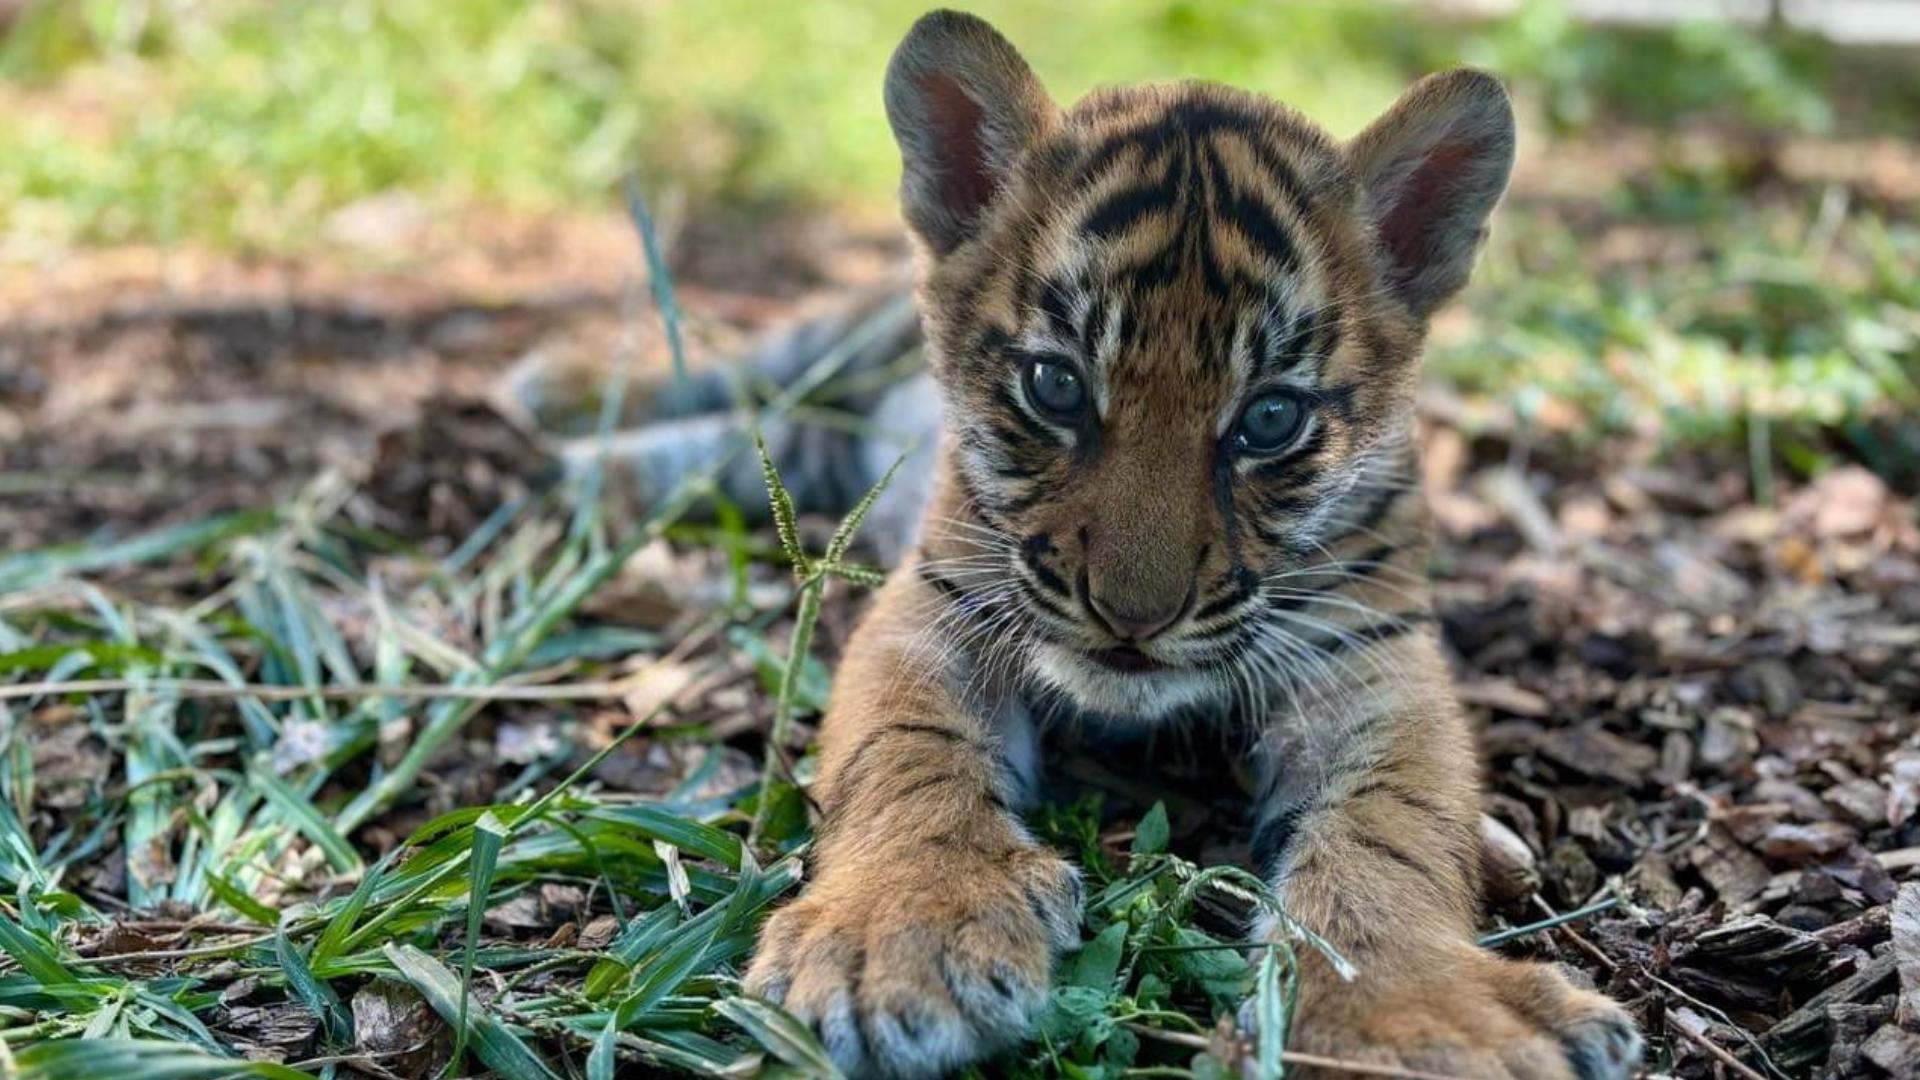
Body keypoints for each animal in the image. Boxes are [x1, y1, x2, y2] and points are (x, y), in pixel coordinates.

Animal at [560, 10, 1643, 1076]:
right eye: (1057, 386)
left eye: (1270, 420)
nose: (1133, 615)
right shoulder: (934, 604)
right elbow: (906, 756)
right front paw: (899, 939)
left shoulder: (1371, 661)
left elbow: (1395, 827)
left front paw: (1407, 1014)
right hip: (840, 334)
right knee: (748, 378)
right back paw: (560, 414)